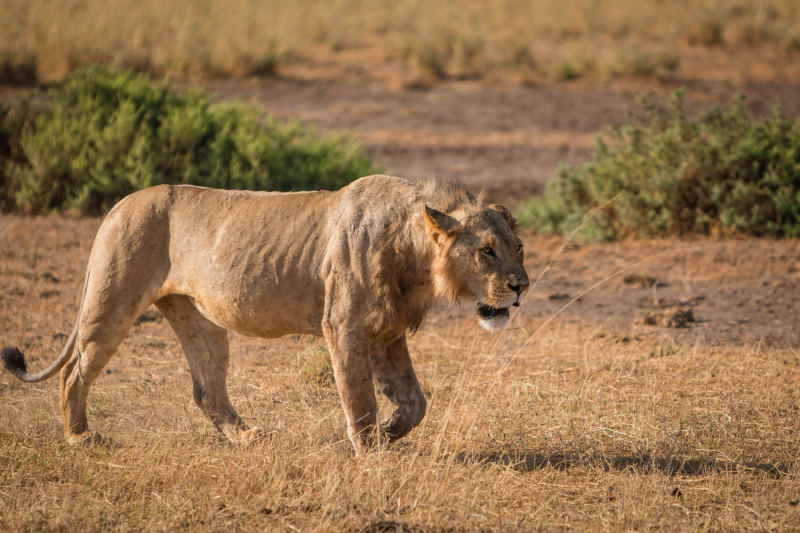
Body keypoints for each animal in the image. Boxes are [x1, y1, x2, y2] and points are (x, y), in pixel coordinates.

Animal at [1, 177, 532, 450]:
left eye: (518, 248)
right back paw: (79, 437)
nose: (522, 286)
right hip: (112, 303)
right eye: (486, 251)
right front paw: (368, 447)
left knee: (206, 390)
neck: (415, 253)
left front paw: (389, 433)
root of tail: (117, 206)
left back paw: (247, 437)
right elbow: (359, 396)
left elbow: (414, 400)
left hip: (200, 322)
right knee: (73, 371)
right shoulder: (344, 326)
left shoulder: (385, 330)